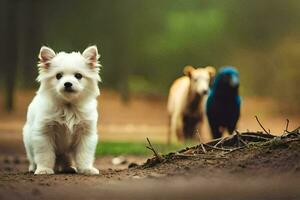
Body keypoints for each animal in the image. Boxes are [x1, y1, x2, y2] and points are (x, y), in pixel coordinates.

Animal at [22, 45, 102, 175]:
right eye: (58, 76)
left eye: (78, 76)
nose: (67, 84)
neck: (68, 106)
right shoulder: (44, 133)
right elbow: (45, 155)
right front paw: (44, 169)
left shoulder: (86, 135)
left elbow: (84, 155)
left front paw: (86, 169)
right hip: (28, 141)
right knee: (33, 159)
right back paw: (33, 168)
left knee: (66, 159)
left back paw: (68, 168)